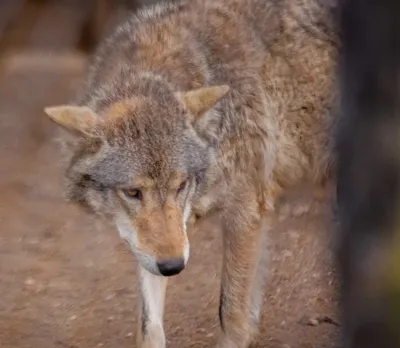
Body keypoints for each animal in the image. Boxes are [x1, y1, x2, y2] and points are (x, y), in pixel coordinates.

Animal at [43, 0, 338, 346]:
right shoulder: (155, 247)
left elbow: (231, 313)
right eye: (133, 193)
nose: (174, 267)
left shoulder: (245, 210)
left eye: (181, 185)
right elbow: (149, 326)